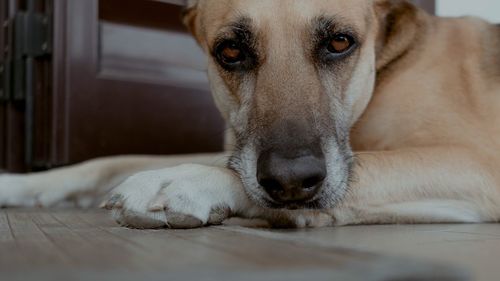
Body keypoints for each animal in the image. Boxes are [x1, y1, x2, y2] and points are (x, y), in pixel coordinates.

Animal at [0, 0, 500, 228]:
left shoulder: (477, 164)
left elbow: (371, 166)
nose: (292, 181)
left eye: (340, 41)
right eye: (231, 51)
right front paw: (20, 184)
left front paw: (193, 181)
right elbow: (110, 161)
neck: (387, 65)